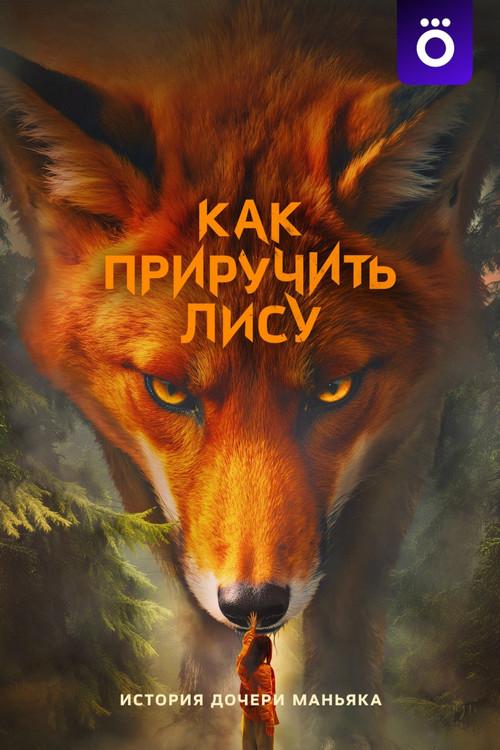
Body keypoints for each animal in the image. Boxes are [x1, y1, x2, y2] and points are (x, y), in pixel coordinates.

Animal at [0, 1, 498, 748]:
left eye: (333, 390)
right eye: (170, 392)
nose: (255, 603)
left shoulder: (407, 418)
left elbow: (345, 622)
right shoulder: (124, 446)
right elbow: (195, 616)